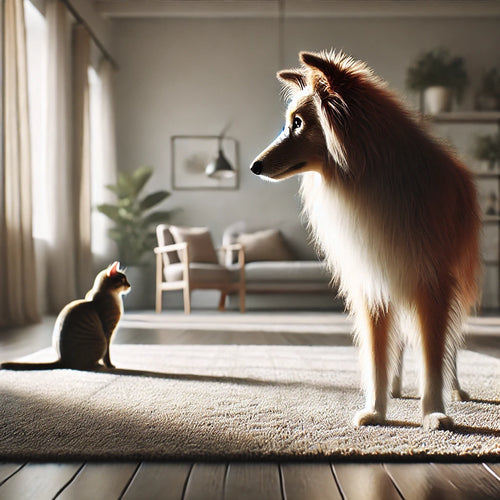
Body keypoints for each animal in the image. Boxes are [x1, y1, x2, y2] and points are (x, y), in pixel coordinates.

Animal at [1, 262, 131, 372]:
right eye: (123, 280)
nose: (130, 285)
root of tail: (62, 360)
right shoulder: (108, 334)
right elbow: (107, 356)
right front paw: (110, 366)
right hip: (102, 341)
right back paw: (98, 365)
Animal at [250, 50, 480, 432]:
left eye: (297, 123)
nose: (254, 166)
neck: (367, 180)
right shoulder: (373, 283)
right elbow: (377, 357)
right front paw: (376, 411)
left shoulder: (432, 284)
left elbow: (433, 357)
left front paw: (434, 412)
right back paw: (399, 388)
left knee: (450, 346)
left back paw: (456, 389)